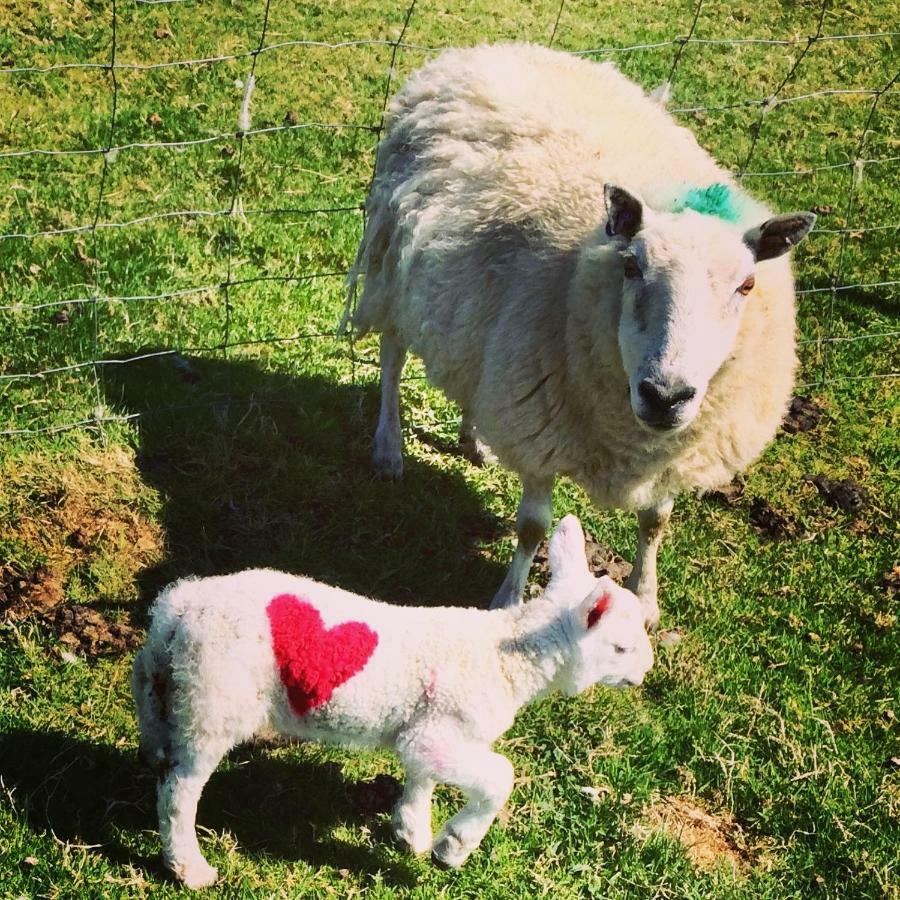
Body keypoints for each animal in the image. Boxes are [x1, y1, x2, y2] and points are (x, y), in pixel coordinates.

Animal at [132, 512, 652, 884]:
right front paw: (452, 846)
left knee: (148, 700)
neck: (507, 658)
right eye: (621, 647)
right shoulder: (442, 730)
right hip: (216, 699)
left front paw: (412, 833)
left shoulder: (425, 729)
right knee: (179, 789)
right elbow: (499, 776)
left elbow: (420, 773)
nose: (645, 671)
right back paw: (188, 867)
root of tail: (180, 607)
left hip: (178, 680)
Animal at [342, 44, 816, 624]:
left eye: (746, 285)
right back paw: (389, 448)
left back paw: (475, 439)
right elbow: (533, 527)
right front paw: (509, 602)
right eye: (631, 266)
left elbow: (655, 521)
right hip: (395, 262)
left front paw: (645, 598)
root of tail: (488, 47)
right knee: (392, 355)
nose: (665, 395)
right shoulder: (539, 423)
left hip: (483, 320)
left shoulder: (673, 454)